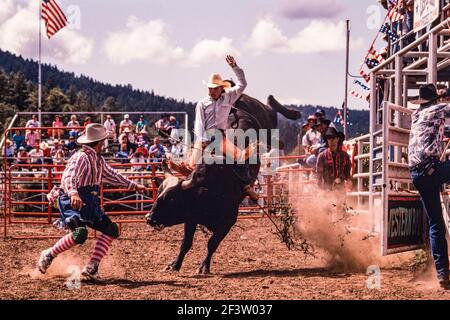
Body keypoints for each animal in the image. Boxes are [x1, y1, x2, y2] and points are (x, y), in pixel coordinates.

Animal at [146, 95, 300, 276]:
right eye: (159, 194)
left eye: (171, 199)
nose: (149, 218)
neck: (206, 189)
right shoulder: (191, 218)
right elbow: (186, 243)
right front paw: (174, 265)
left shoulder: (228, 221)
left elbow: (212, 243)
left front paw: (204, 267)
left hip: (268, 121)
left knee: (272, 110)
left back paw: (293, 114)